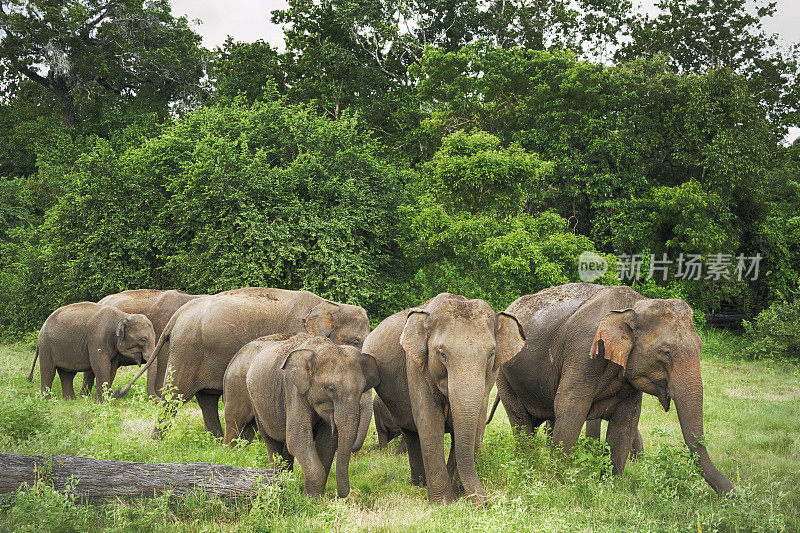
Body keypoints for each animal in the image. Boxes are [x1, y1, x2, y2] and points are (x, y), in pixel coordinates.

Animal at [115, 286, 372, 440]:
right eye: (355, 341)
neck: (331, 306)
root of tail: (178, 315)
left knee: (207, 399)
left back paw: (217, 441)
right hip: (187, 350)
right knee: (175, 396)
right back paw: (158, 441)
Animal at [220, 330, 380, 496]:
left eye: (362, 389)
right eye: (330, 389)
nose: (343, 494)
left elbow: (327, 441)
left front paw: (315, 496)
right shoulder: (293, 389)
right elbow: (297, 438)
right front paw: (310, 498)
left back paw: (286, 479)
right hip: (252, 399)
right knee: (266, 438)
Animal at [366, 290, 528, 502]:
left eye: (491, 354)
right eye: (441, 353)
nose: (485, 503)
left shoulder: (491, 377)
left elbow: (476, 424)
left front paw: (458, 496)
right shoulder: (416, 367)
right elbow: (429, 422)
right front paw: (443, 503)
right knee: (411, 433)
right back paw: (419, 485)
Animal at [496, 282, 736, 494]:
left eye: (701, 347)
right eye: (665, 352)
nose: (735, 494)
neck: (635, 305)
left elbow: (626, 419)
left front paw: (612, 486)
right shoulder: (583, 352)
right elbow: (571, 407)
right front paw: (561, 481)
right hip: (503, 374)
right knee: (521, 422)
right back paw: (526, 466)